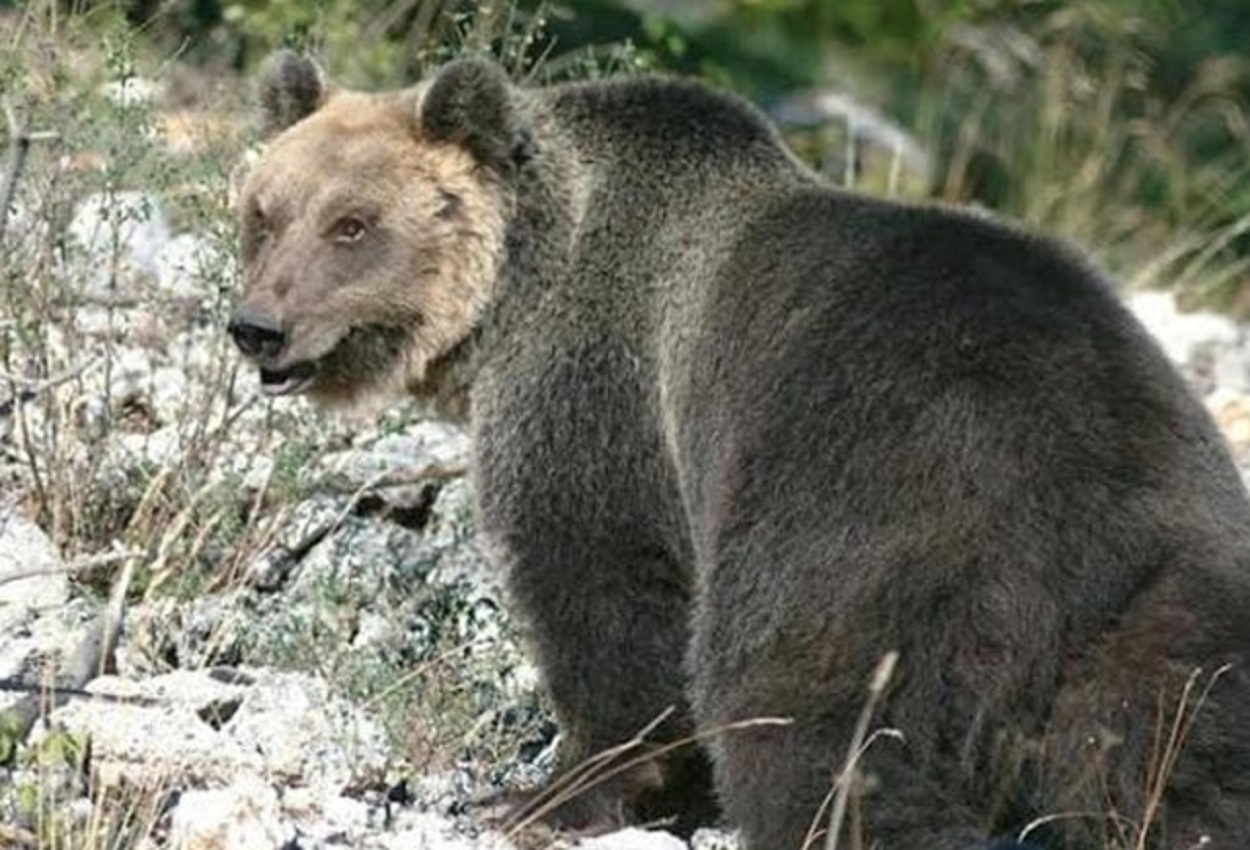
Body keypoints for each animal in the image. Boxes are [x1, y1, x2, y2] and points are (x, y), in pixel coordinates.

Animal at [228, 50, 1250, 850]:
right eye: (264, 214)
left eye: (353, 223)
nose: (259, 328)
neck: (518, 285)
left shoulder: (599, 392)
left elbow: (602, 592)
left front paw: (545, 793)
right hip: (1171, 601)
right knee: (1176, 766)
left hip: (862, 531)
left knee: (810, 723)